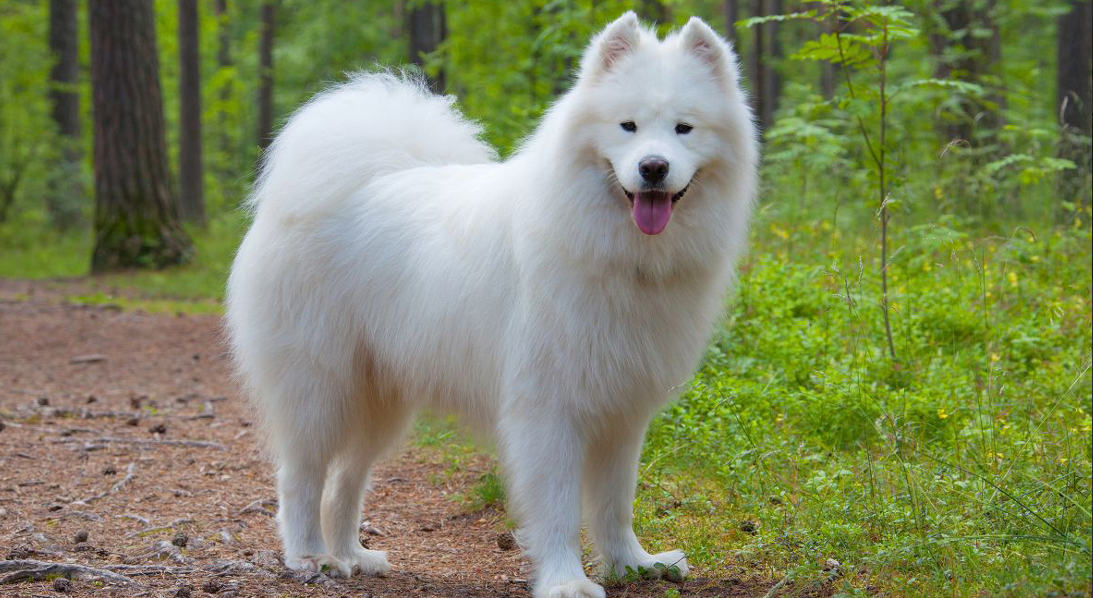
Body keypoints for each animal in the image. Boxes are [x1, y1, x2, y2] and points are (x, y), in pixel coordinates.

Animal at [228, 12, 760, 598]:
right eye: (628, 126)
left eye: (684, 128)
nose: (653, 168)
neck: (617, 251)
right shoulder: (548, 408)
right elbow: (558, 508)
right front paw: (566, 581)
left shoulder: (623, 410)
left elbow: (615, 503)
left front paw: (633, 565)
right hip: (320, 388)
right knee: (301, 477)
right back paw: (310, 557)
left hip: (381, 400)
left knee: (347, 480)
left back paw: (353, 555)